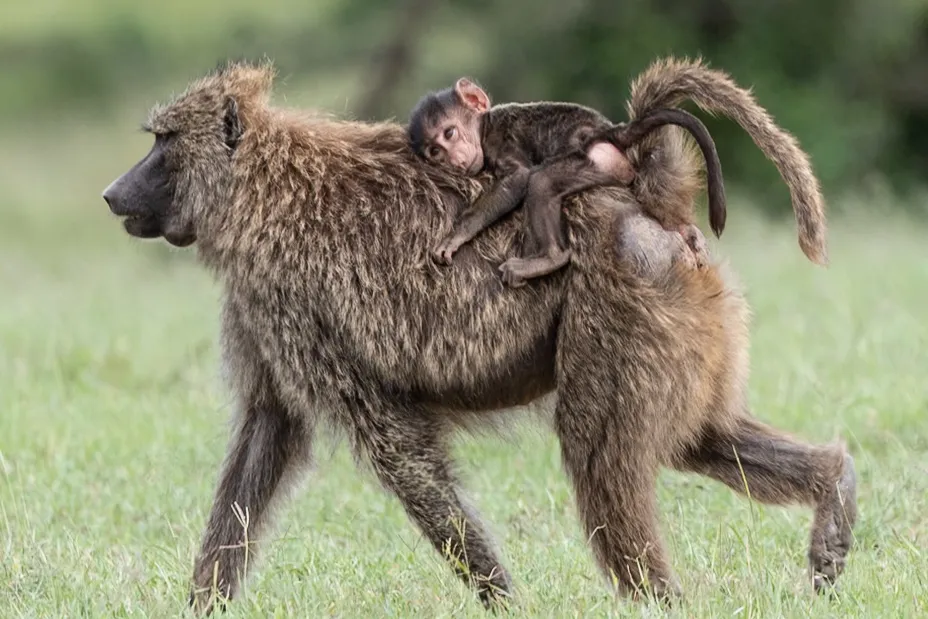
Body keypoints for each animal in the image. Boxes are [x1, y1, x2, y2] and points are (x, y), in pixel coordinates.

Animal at [408, 79, 725, 286]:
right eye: (435, 152)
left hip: (597, 162)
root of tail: (610, 131)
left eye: (449, 133)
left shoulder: (501, 141)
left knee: (542, 181)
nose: (454, 160)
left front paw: (456, 235)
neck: (485, 125)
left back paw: (551, 258)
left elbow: (518, 179)